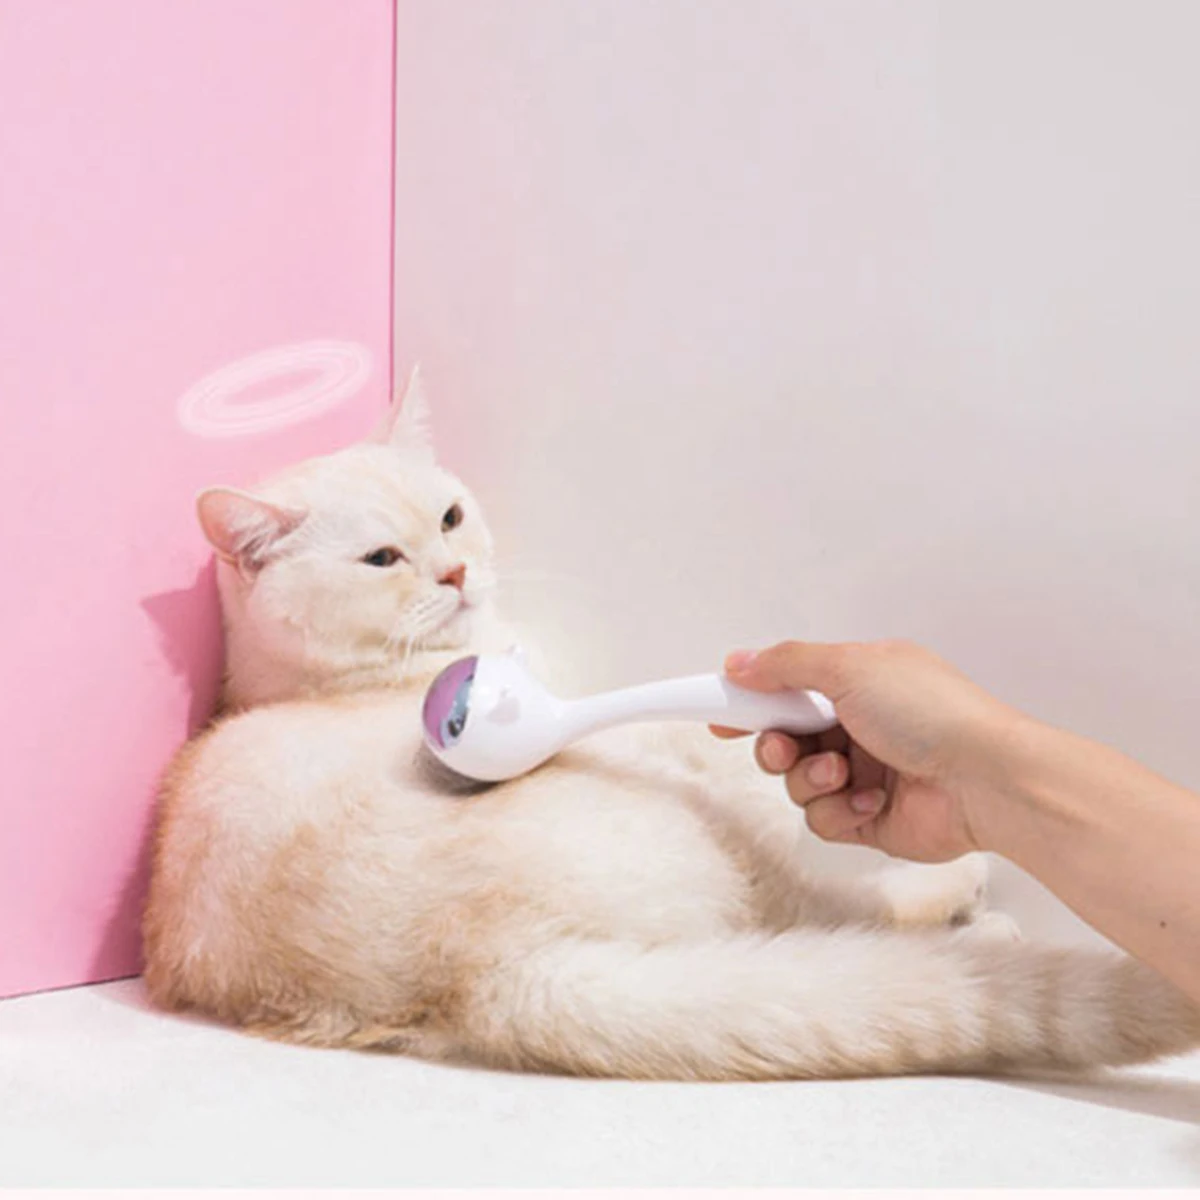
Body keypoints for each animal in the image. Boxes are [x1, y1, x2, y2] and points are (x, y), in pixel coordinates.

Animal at [142, 370, 1200, 1079]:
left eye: (448, 518)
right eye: (380, 559)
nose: (456, 573)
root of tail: (480, 973)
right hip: (718, 827)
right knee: (830, 912)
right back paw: (964, 905)